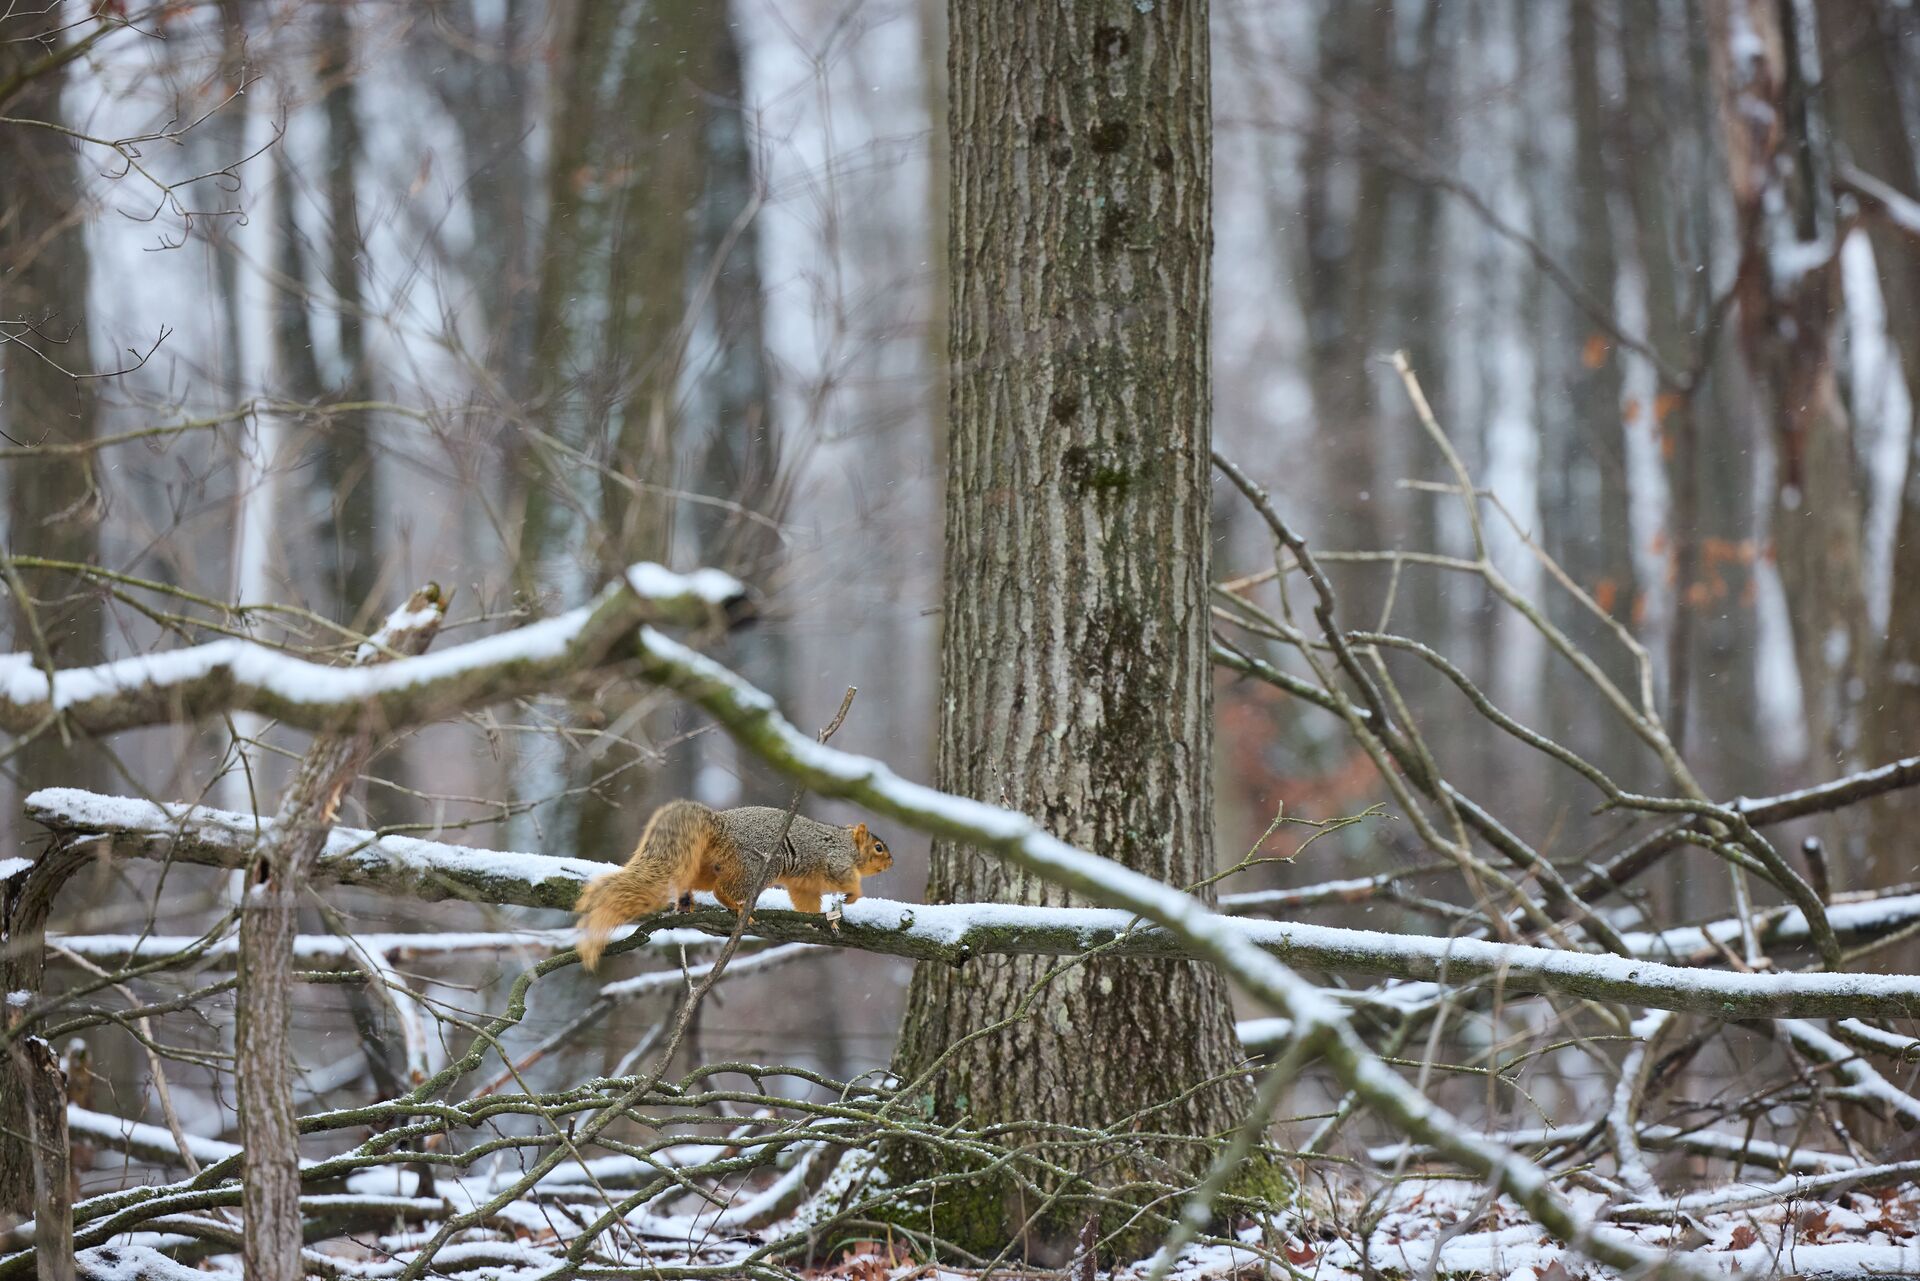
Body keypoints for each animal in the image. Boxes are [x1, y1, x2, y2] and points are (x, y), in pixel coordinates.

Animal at [572, 802, 894, 971]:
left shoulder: (805, 886)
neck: (846, 842)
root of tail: (721, 825)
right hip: (756, 869)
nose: (892, 862)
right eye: (878, 848)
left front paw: (821, 922)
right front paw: (853, 896)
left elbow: (807, 902)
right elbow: (845, 878)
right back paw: (738, 908)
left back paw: (686, 900)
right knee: (722, 891)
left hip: (707, 866)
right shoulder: (835, 860)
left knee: (694, 881)